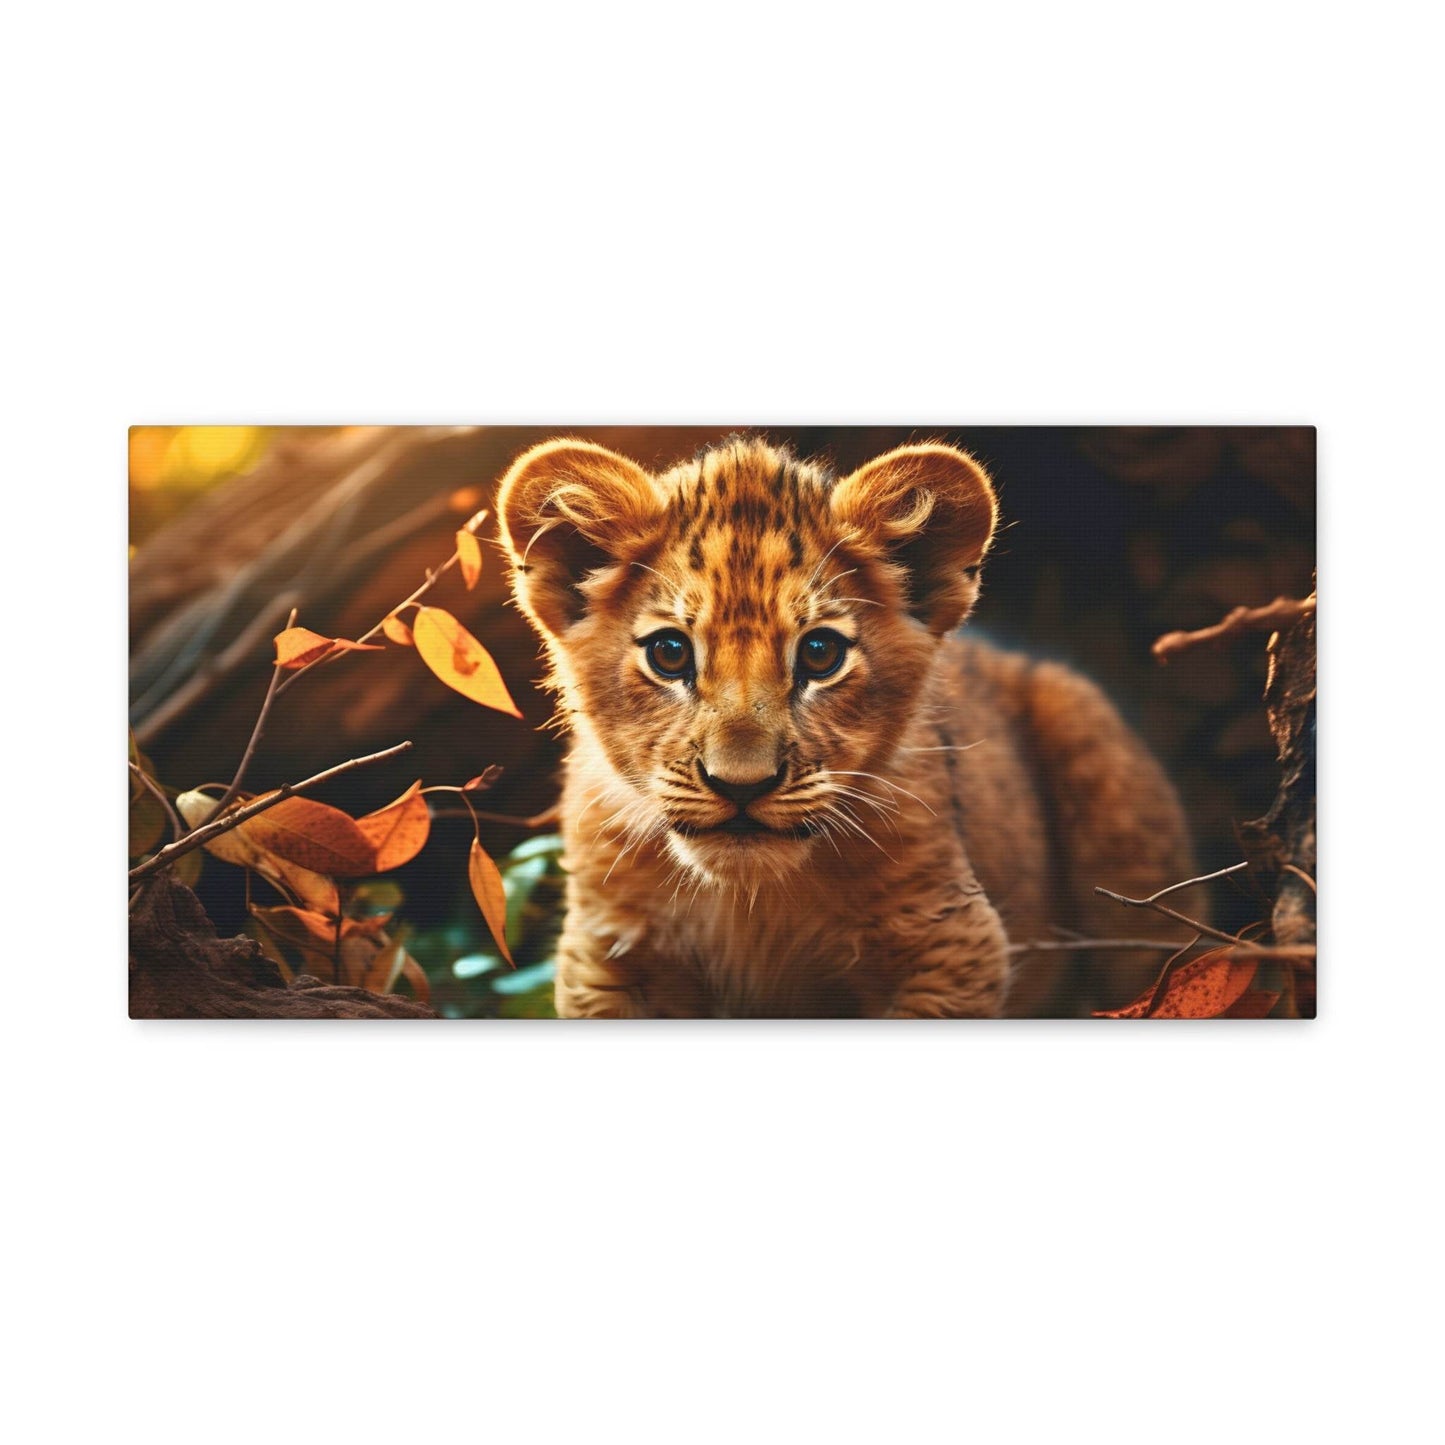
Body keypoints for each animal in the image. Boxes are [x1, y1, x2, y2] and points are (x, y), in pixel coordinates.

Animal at [496, 435, 1196, 1017]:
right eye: (669, 654)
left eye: (819, 654)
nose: (742, 785)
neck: (751, 904)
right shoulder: (605, 961)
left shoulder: (954, 943)